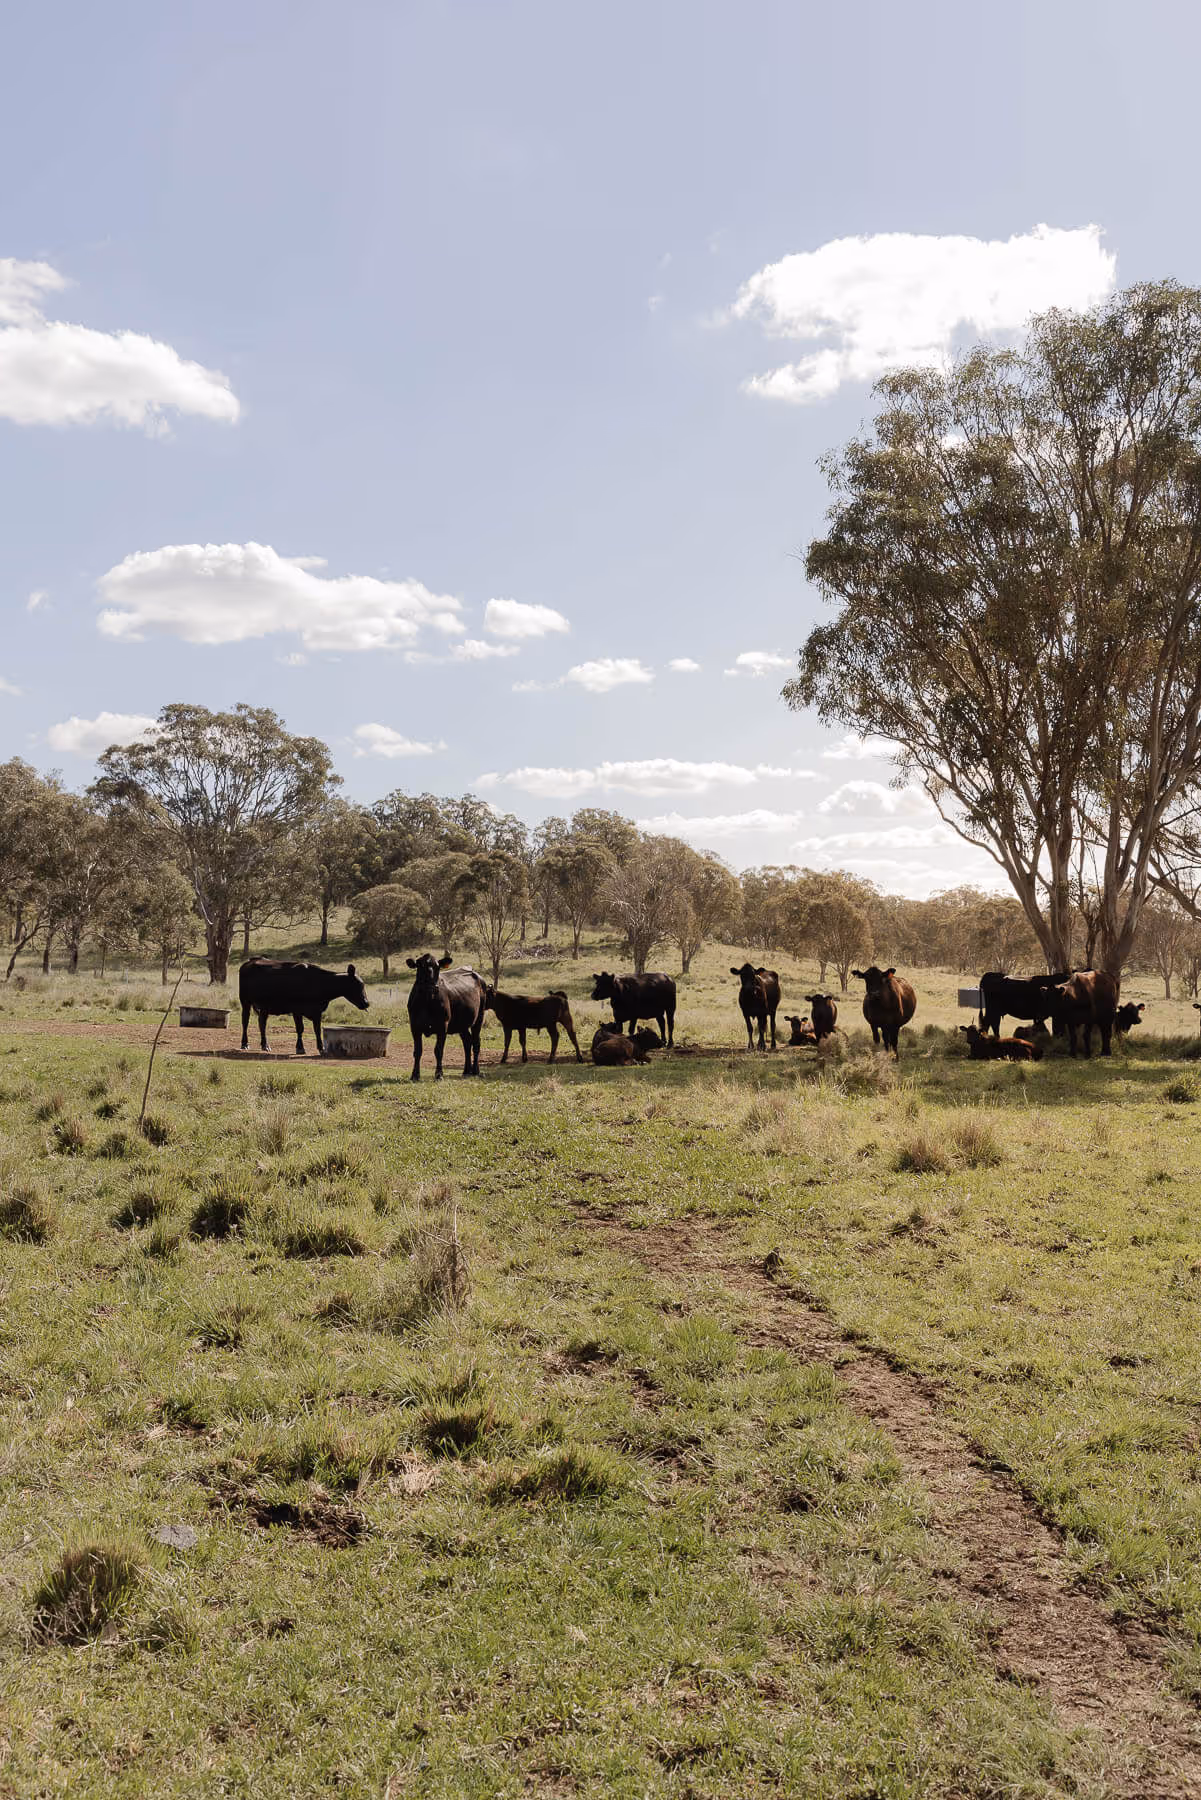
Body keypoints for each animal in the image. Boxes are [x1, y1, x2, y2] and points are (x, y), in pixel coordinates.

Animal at [238, 958, 368, 1055]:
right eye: (358, 984)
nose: (367, 1003)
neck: (318, 982)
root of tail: (250, 961)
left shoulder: (317, 1011)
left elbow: (317, 1029)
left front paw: (321, 1048)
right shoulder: (297, 1010)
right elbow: (300, 1029)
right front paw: (300, 1048)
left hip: (264, 1007)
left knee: (262, 1023)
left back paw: (265, 1045)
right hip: (245, 1002)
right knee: (245, 1022)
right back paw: (245, 1044)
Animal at [405, 952, 488, 1080]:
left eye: (437, 967)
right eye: (420, 966)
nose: (431, 986)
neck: (427, 1000)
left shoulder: (442, 1026)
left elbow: (438, 1050)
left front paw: (439, 1074)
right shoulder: (414, 1026)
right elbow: (417, 1051)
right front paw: (415, 1075)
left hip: (479, 1017)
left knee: (476, 1043)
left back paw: (475, 1070)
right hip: (461, 1024)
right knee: (467, 1042)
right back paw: (466, 1070)